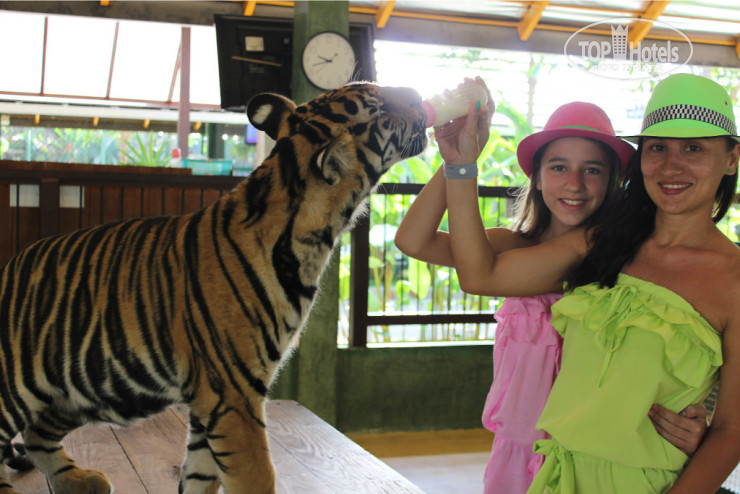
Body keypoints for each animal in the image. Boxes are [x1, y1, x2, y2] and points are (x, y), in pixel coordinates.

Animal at [0, 83, 428, 494]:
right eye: (379, 107)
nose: (421, 96)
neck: (313, 237)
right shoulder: (234, 393)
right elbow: (255, 476)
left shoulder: (215, 396)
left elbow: (202, 472)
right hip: (18, 389)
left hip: (77, 394)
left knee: (37, 435)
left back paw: (78, 480)